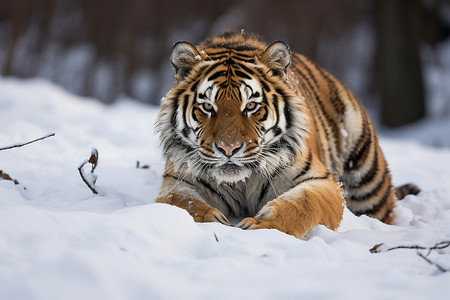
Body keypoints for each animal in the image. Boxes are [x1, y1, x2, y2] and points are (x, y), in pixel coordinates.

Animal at [156, 29, 420, 238]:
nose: (228, 149)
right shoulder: (176, 183)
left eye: (251, 106)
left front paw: (261, 226)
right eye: (207, 107)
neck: (241, 182)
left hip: (367, 179)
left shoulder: (322, 181)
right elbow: (184, 205)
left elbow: (304, 204)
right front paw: (216, 222)